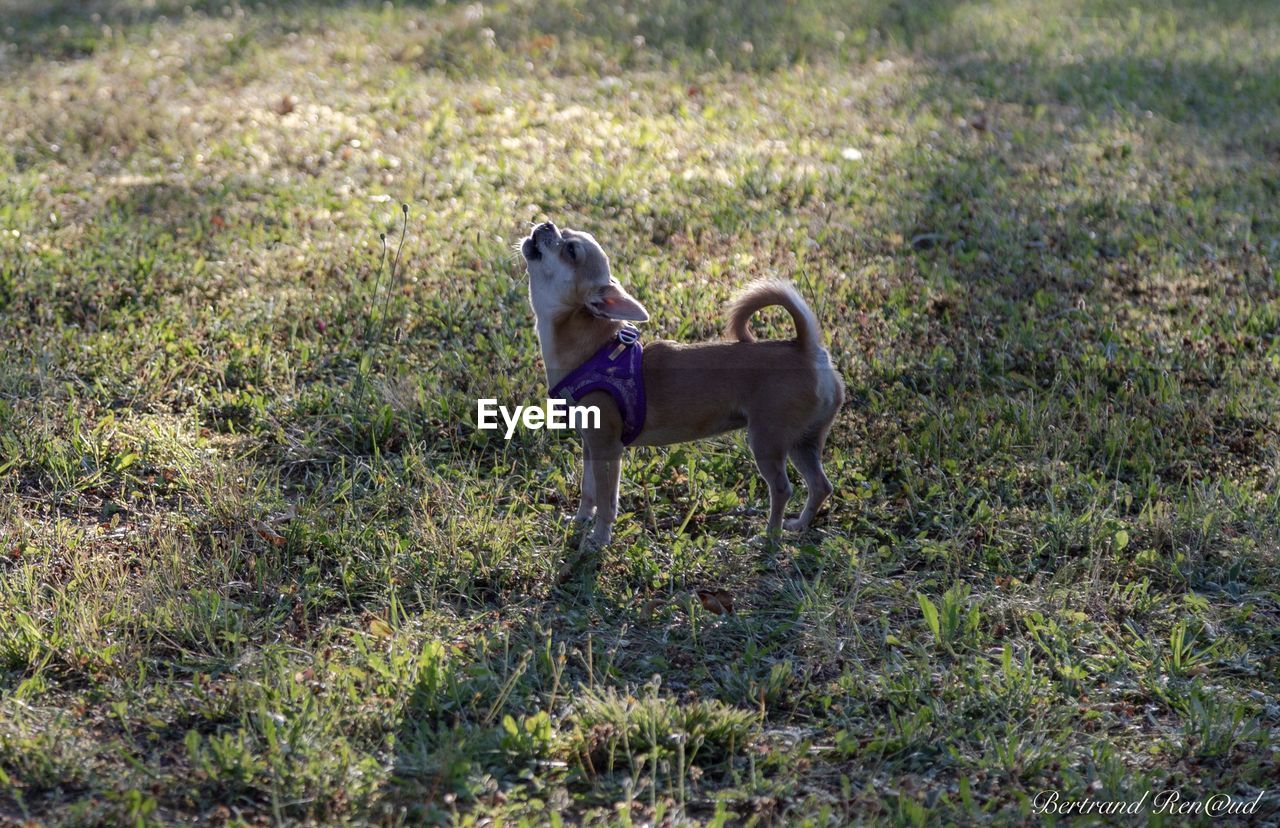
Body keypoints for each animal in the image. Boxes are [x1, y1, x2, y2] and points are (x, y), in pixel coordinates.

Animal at [514, 221, 844, 550]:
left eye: (570, 251)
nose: (546, 224)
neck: (591, 349)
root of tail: (806, 348)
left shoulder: (607, 447)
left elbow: (607, 500)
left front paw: (598, 539)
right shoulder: (590, 444)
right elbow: (589, 489)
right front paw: (581, 520)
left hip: (767, 440)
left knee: (783, 489)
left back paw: (768, 537)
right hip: (803, 441)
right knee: (821, 485)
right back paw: (799, 525)